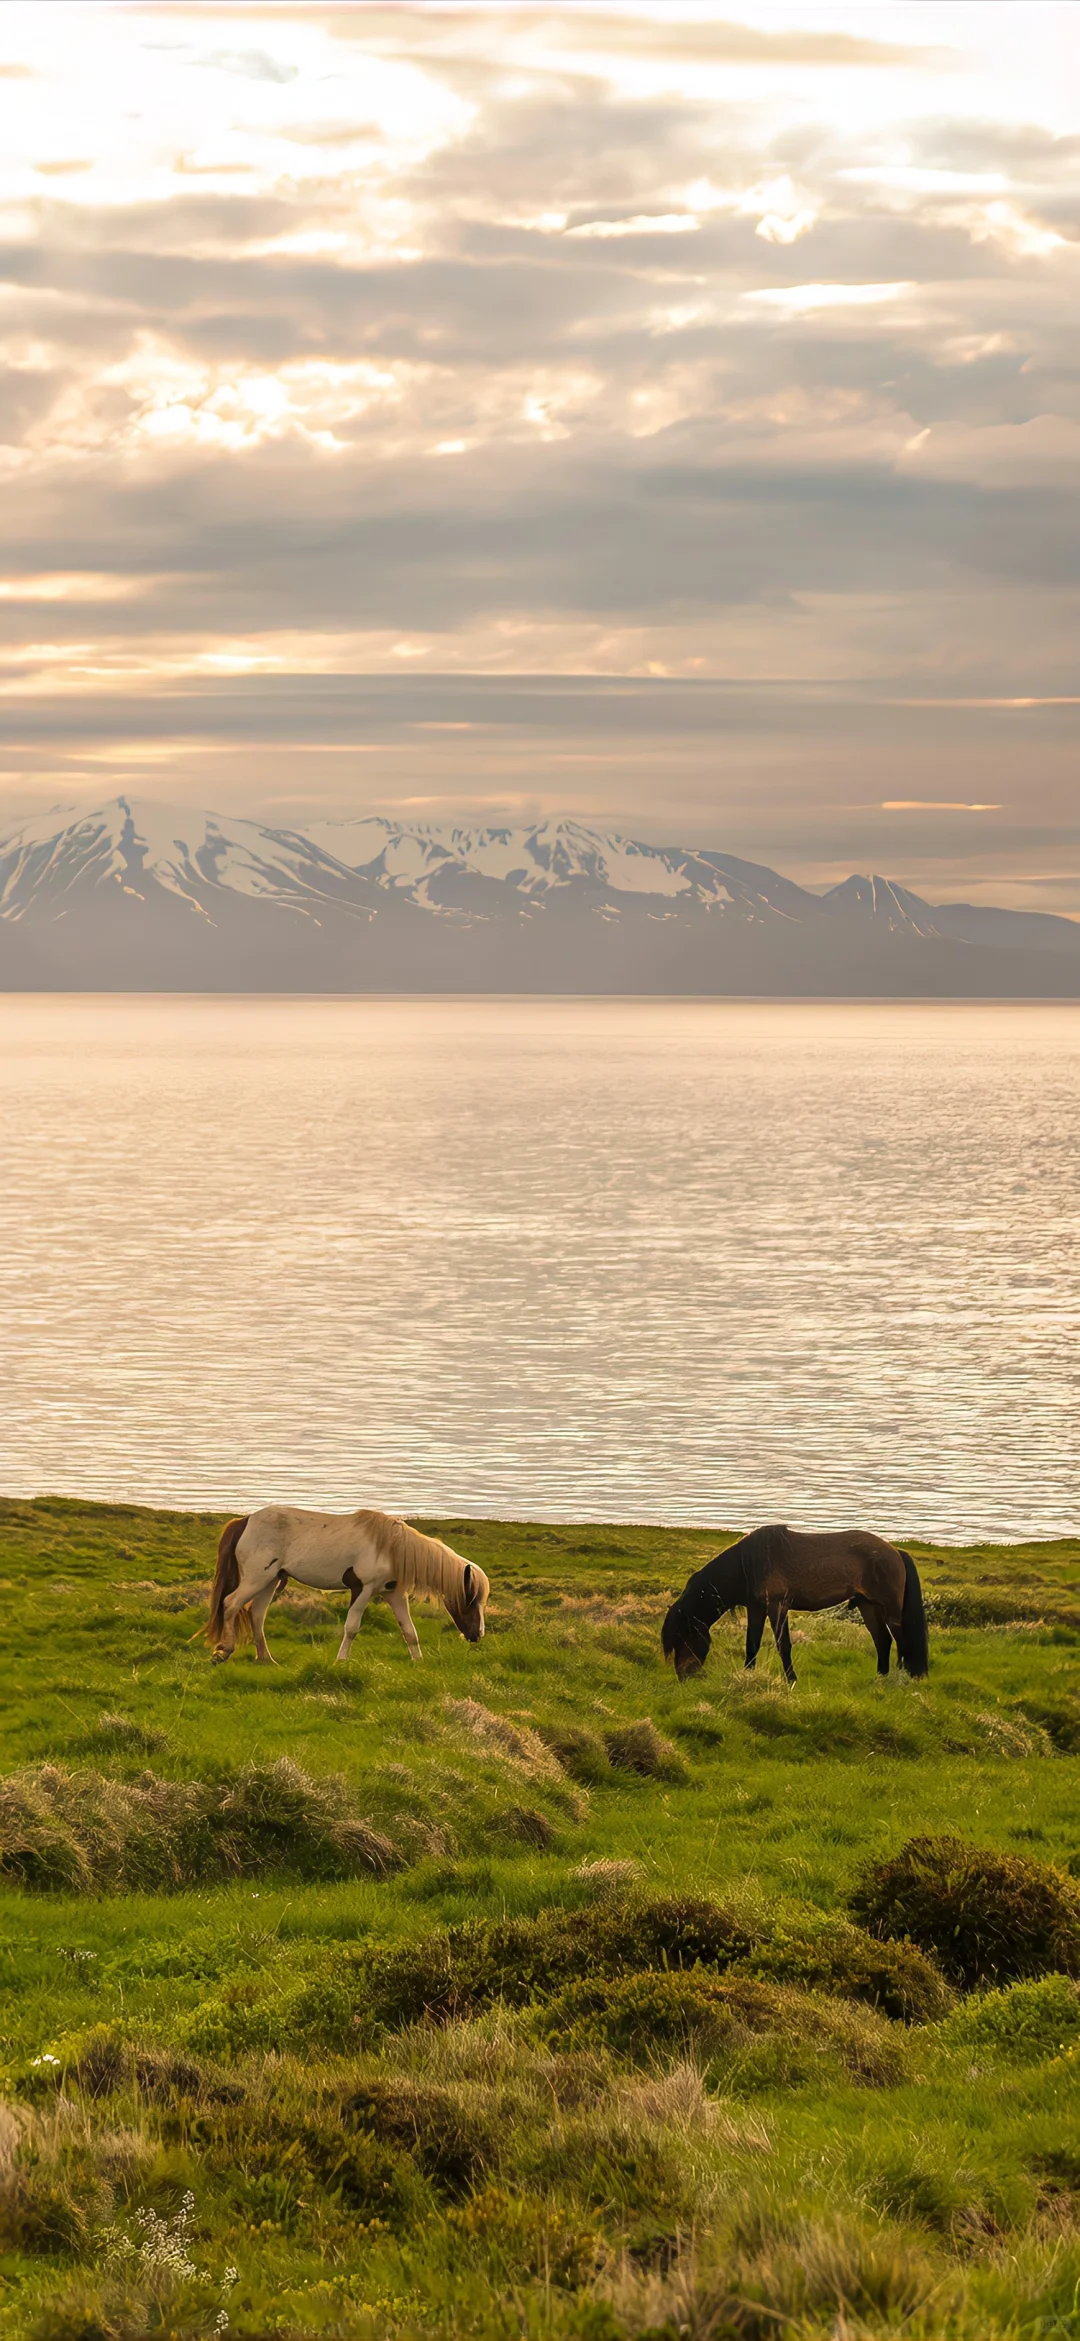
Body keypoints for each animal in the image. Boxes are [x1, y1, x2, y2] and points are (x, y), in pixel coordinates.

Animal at [202, 1507, 487, 1676]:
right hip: (256, 1578)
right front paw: (340, 1661)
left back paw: (266, 1659)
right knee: (230, 1604)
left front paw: (418, 1663)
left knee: (257, 1614)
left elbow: (409, 1631)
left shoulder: (394, 1594)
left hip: (270, 1580)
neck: (392, 1546)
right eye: (471, 1600)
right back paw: (223, 1652)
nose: (478, 1635)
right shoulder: (363, 1589)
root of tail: (245, 1521)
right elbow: (351, 1627)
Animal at [655, 1526, 927, 1694]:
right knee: (883, 1640)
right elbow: (751, 1644)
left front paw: (791, 1680)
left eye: (685, 1637)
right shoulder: (756, 1607)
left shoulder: (777, 1605)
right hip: (867, 1605)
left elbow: (782, 1645)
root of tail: (895, 1551)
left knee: (902, 1642)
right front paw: (748, 1676)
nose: (684, 1676)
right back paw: (880, 1679)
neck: (748, 1565)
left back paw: (901, 1679)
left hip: (889, 1609)